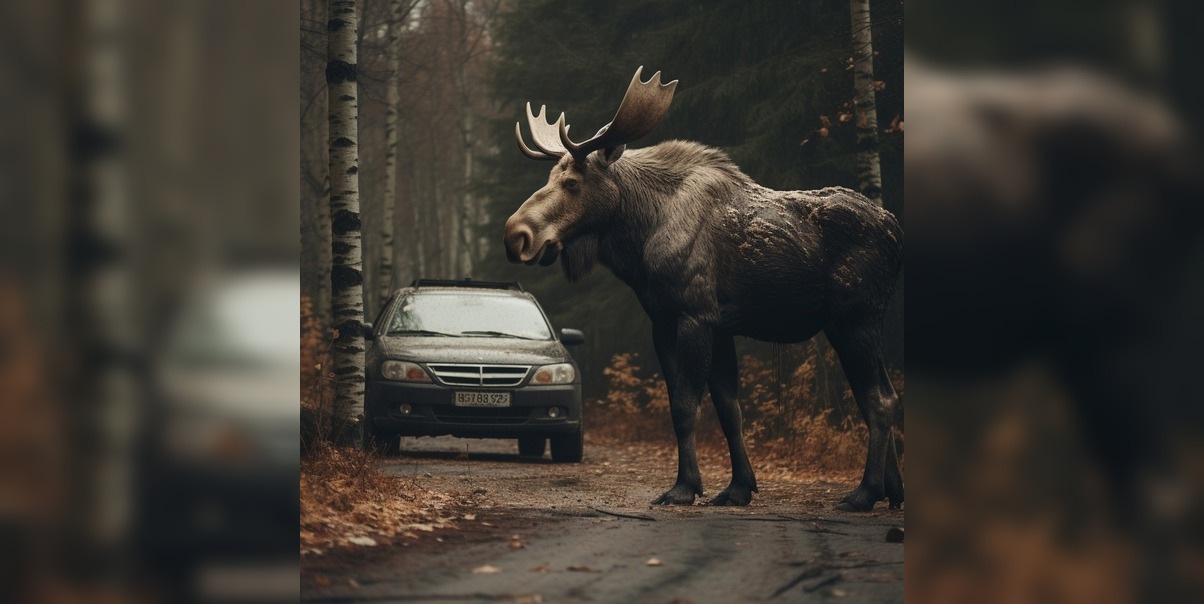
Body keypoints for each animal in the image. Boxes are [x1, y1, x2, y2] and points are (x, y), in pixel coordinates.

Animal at [505, 67, 905, 510]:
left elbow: (685, 407)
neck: (641, 235)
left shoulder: (694, 317)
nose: (516, 234)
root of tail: (898, 236)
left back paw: (865, 493)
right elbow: (730, 411)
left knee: (880, 400)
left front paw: (685, 486)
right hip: (843, 325)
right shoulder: (683, 324)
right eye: (550, 177)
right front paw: (737, 487)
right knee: (878, 396)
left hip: (857, 318)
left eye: (573, 183)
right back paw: (893, 491)